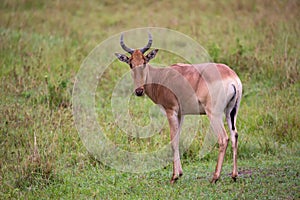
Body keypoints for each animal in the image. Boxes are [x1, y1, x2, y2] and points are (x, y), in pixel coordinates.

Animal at [113, 33, 243, 184]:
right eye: (131, 64)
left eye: (144, 61)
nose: (139, 91)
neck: (163, 76)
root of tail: (231, 77)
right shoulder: (181, 114)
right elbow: (178, 139)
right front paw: (179, 173)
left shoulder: (171, 111)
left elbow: (173, 141)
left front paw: (174, 177)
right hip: (231, 112)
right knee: (234, 135)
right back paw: (234, 175)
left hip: (214, 114)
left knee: (223, 138)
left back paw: (215, 177)